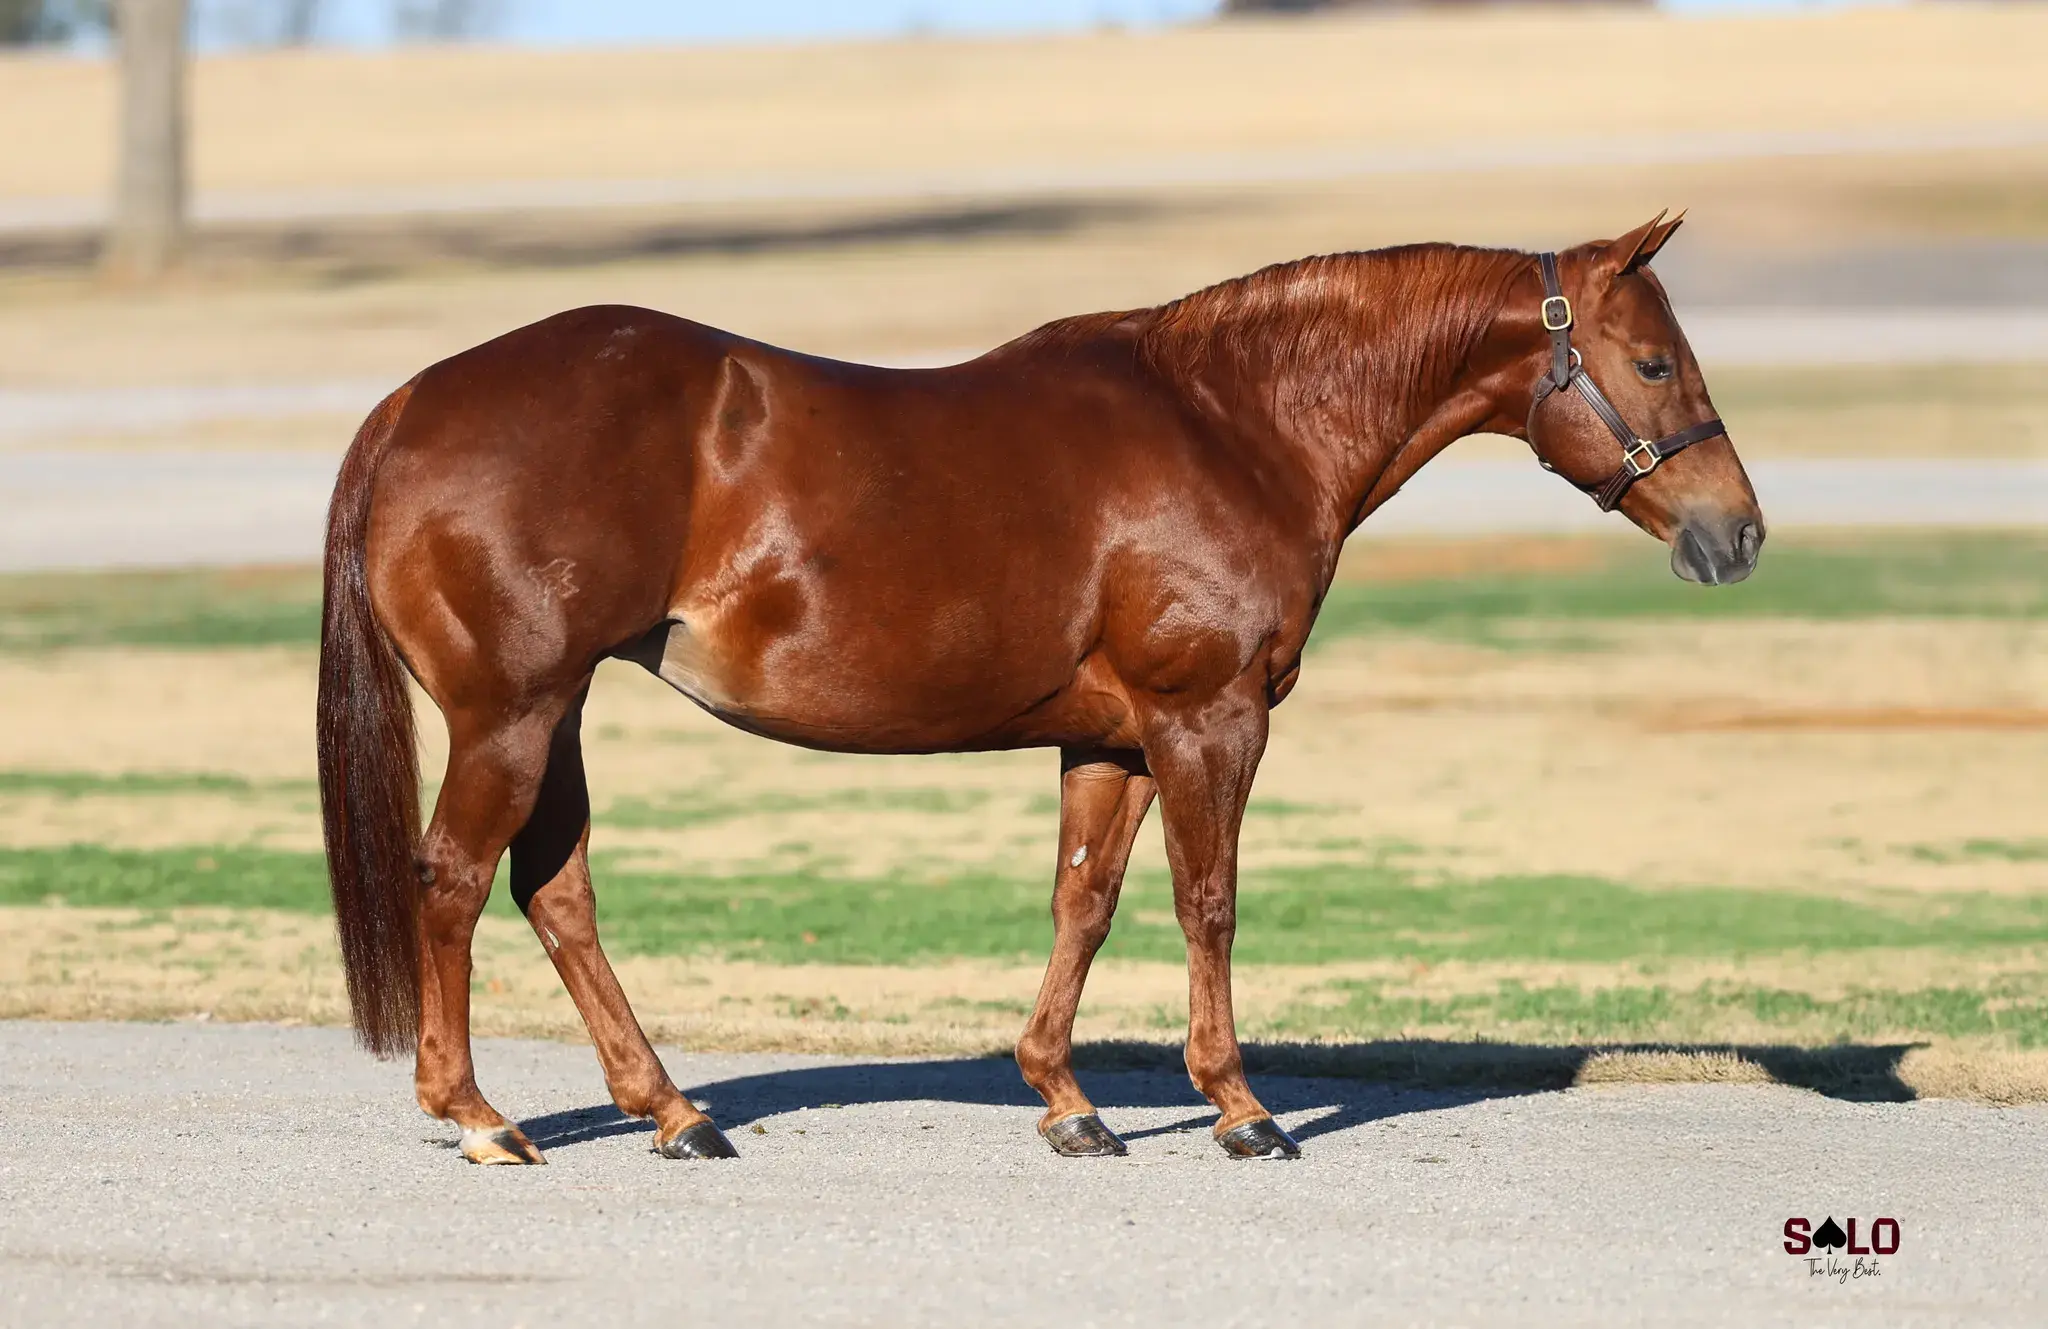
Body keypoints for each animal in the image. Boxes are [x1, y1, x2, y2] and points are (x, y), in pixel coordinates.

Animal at [316, 212, 1762, 1165]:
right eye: (1653, 365)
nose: (1736, 534)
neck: (1230, 425)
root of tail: (410, 405)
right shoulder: (1207, 718)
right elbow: (1206, 903)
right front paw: (1240, 1107)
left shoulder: (1111, 742)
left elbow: (1086, 903)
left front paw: (1069, 1103)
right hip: (510, 712)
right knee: (454, 880)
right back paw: (480, 1117)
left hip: (552, 710)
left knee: (553, 890)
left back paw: (670, 1111)